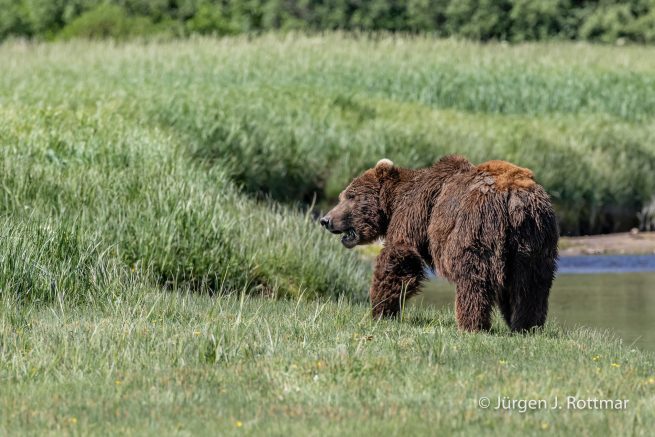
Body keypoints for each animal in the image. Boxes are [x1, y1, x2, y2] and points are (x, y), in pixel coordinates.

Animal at [319, 155, 558, 332]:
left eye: (350, 196)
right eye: (343, 196)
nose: (325, 219)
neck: (394, 201)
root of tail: (514, 198)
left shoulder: (415, 212)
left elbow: (399, 256)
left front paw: (380, 309)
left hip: (478, 226)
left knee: (473, 278)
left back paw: (471, 324)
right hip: (534, 238)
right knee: (531, 284)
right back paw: (527, 326)